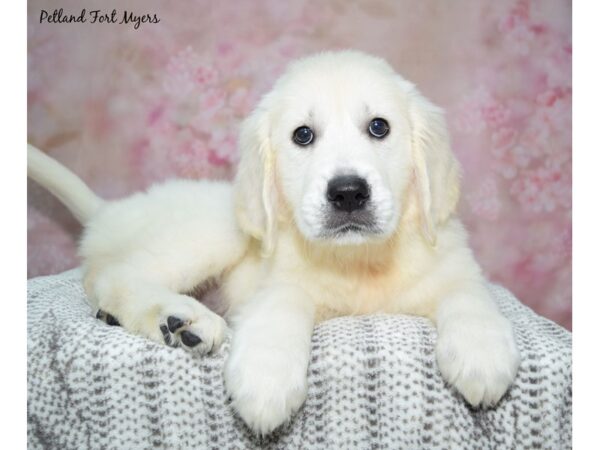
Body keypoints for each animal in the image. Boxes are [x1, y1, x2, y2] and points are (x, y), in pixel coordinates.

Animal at [25, 50, 516, 436]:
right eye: (303, 135)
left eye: (379, 127)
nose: (348, 193)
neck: (359, 260)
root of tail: (109, 210)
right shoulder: (272, 281)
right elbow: (281, 308)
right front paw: (266, 382)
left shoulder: (451, 261)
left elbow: (470, 296)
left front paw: (481, 355)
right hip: (215, 228)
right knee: (112, 275)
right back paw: (182, 320)